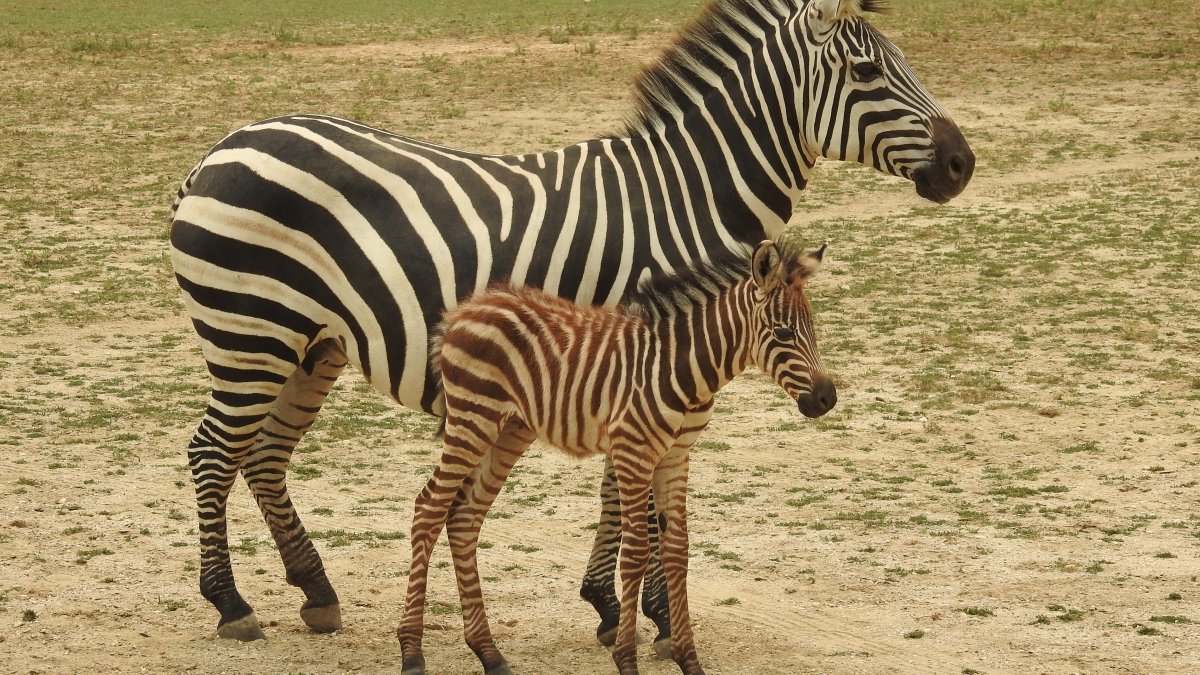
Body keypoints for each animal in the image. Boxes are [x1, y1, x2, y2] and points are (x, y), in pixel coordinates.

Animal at [402, 240, 832, 675]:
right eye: (783, 333)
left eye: (813, 330)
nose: (827, 399)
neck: (681, 369)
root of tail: (469, 307)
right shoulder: (633, 452)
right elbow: (637, 553)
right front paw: (626, 658)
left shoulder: (676, 457)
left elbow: (677, 550)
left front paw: (688, 659)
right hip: (473, 419)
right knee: (429, 509)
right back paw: (412, 654)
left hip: (509, 429)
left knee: (465, 517)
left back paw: (489, 653)